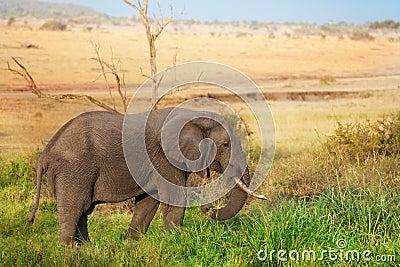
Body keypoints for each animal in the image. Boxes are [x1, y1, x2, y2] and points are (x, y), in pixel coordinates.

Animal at [28, 107, 266, 245]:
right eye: (226, 145)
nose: (209, 207)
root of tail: (45, 153)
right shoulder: (164, 158)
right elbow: (174, 198)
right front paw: (173, 242)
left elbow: (148, 201)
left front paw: (131, 244)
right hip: (73, 170)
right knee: (75, 208)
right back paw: (70, 252)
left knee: (83, 212)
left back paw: (86, 248)